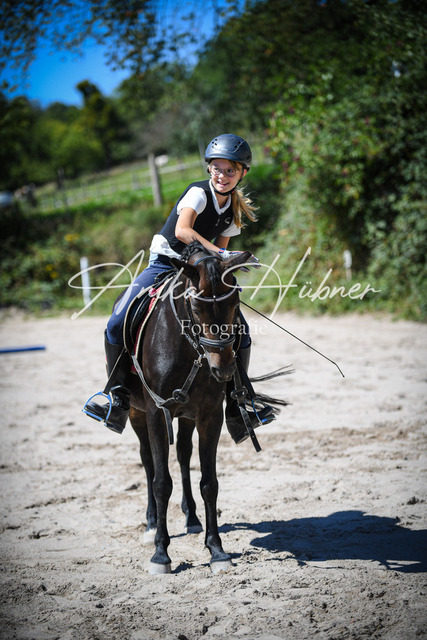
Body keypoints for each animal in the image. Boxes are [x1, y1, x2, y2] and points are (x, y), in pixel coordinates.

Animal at [126, 241, 283, 574]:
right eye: (196, 308)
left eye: (235, 304)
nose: (222, 370)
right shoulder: (157, 412)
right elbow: (161, 482)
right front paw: (161, 554)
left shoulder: (210, 415)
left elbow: (209, 482)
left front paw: (217, 550)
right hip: (136, 413)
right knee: (147, 460)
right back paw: (150, 525)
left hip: (187, 416)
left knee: (184, 455)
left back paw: (192, 519)